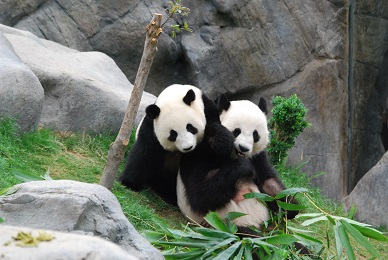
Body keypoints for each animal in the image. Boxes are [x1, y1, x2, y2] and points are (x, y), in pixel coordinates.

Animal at [177, 94, 298, 233]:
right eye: (237, 131)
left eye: (255, 134)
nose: (243, 148)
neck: (233, 156)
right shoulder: (201, 152)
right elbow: (199, 194)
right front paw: (244, 166)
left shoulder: (258, 157)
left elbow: (268, 183)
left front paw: (290, 205)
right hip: (224, 225)